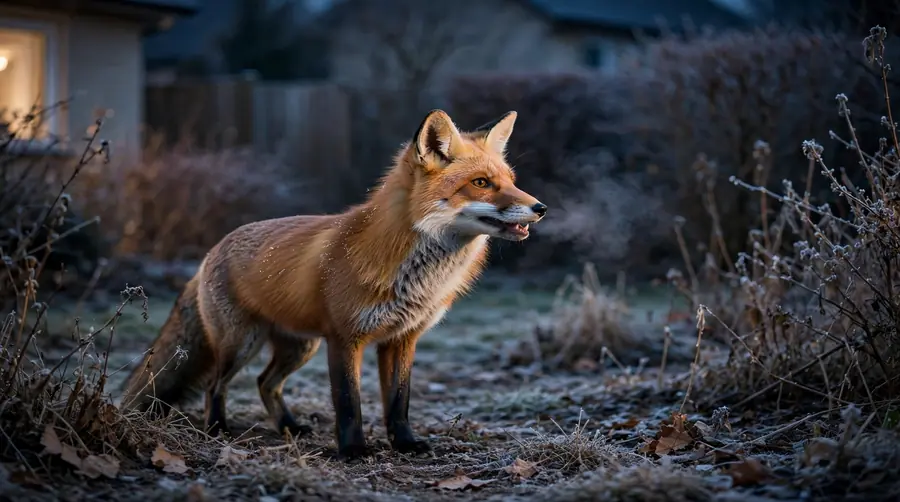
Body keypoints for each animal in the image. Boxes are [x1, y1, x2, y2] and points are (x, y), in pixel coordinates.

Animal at [119, 109, 547, 459]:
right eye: (481, 183)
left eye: (511, 181)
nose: (541, 207)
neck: (414, 274)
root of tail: (211, 251)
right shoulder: (344, 338)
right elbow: (348, 402)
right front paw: (353, 450)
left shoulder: (402, 339)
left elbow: (399, 402)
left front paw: (405, 444)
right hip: (240, 344)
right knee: (215, 386)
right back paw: (217, 429)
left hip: (298, 347)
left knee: (264, 383)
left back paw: (289, 427)